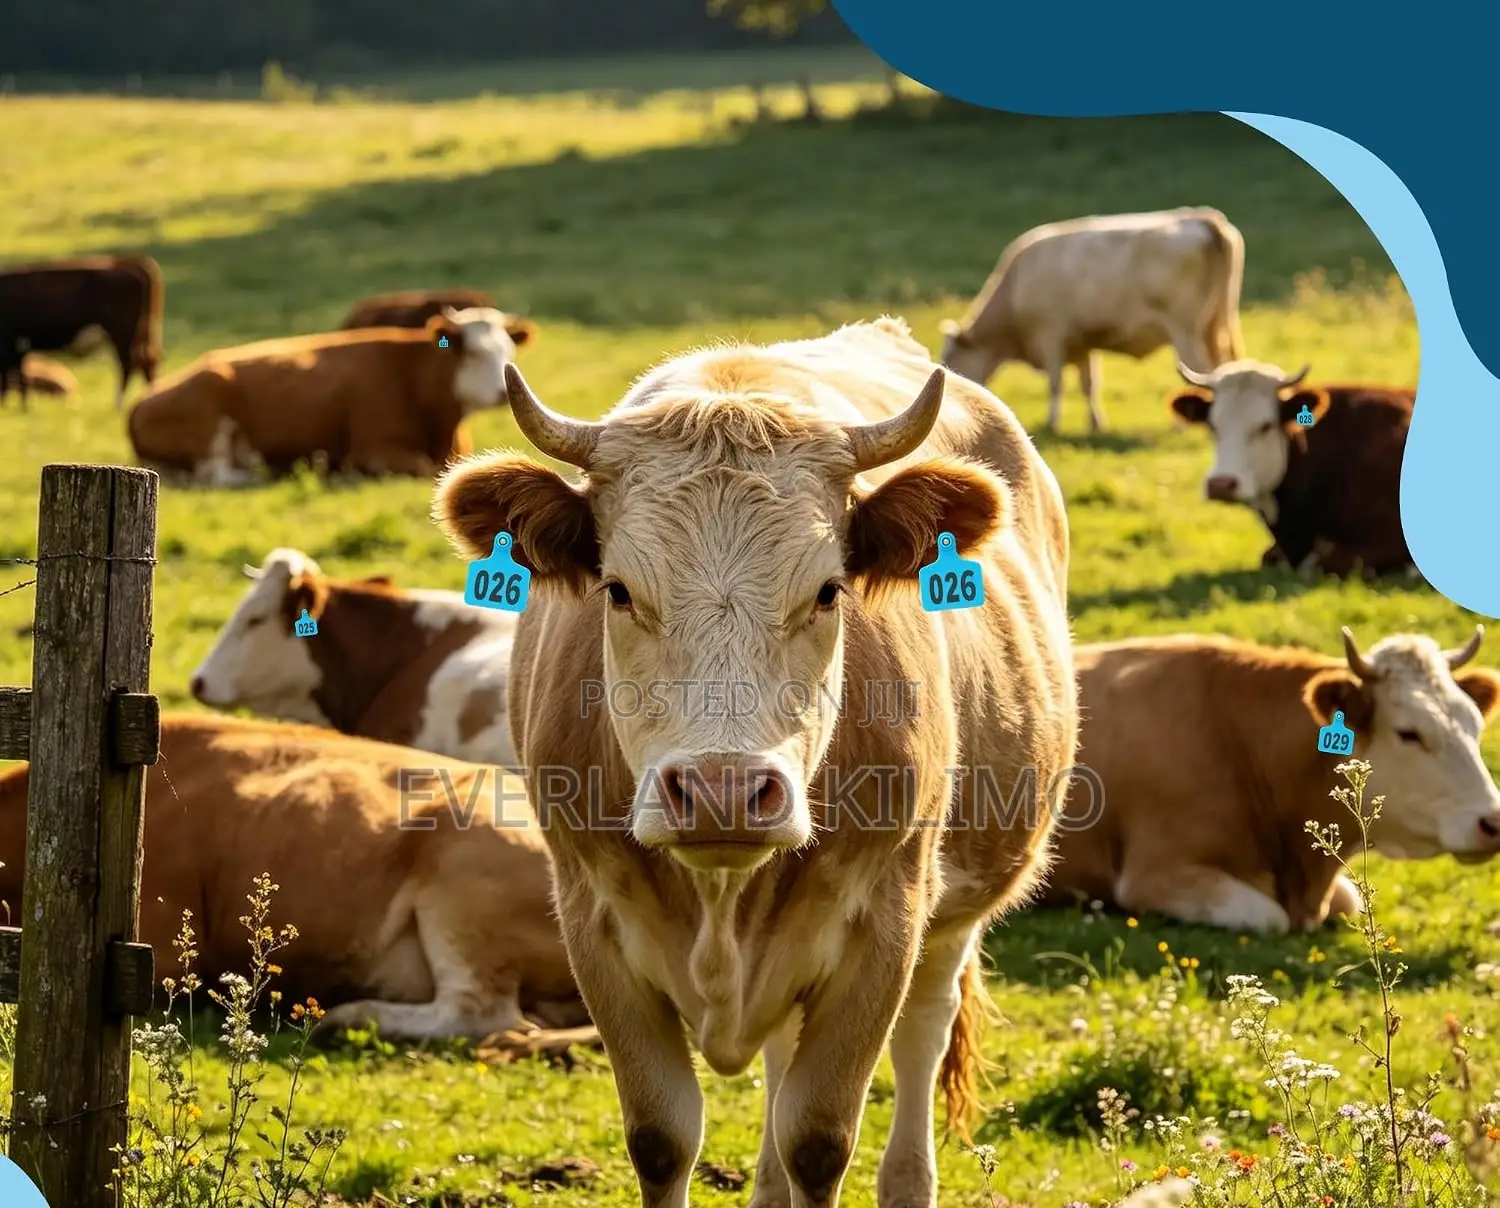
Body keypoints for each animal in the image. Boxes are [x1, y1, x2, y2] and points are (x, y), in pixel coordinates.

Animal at [0, 254, 164, 411]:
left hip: (123, 335)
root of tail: (128, 262)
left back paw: (119, 404)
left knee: (129, 364)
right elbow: (19, 375)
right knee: (148, 362)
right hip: (143, 334)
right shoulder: (18, 347)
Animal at [126, 307, 517, 485]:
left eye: (508, 351)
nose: (503, 392)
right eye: (474, 353)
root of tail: (142, 400)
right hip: (211, 408)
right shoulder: (372, 449)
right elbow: (426, 468)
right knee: (216, 473)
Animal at [432, 315, 1079, 1208]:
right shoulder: (592, 922)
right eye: (619, 590)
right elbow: (663, 1138)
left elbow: (818, 1139)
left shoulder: (884, 927)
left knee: (922, 1034)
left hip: (950, 918)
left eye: (829, 591)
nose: (723, 793)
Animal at [938, 207, 1246, 434]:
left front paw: (1051, 424)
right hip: (1214, 329)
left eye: (949, 361)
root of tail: (1200, 217)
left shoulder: (1051, 336)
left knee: (1200, 372)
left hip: (1186, 332)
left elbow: (1056, 384)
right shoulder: (1083, 344)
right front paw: (1096, 424)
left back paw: (1182, 426)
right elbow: (1089, 384)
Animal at [1043, 626, 1500, 934]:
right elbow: (1268, 917)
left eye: (1474, 724)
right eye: (1409, 733)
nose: (1492, 822)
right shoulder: (1153, 873)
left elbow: (1350, 898)